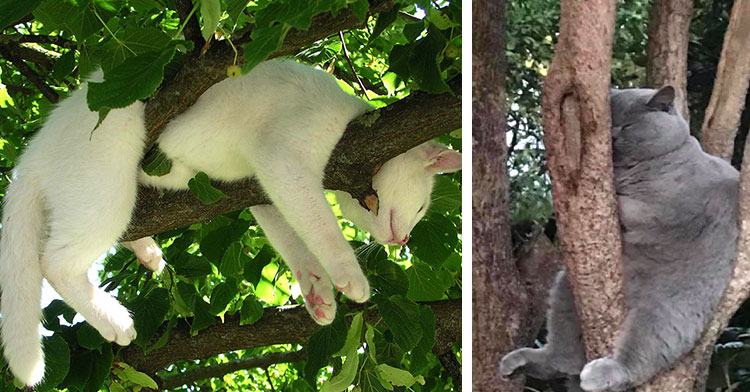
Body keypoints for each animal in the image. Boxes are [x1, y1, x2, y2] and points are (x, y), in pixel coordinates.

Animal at [0, 59, 462, 388]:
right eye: (422, 207)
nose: (403, 240)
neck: (353, 120)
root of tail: (33, 155)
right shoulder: (282, 162)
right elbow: (322, 228)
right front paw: (349, 276)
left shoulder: (262, 188)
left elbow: (294, 241)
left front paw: (318, 291)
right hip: (108, 176)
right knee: (55, 263)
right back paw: (114, 320)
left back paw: (146, 252)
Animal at [500, 86, 740, 392]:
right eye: (608, 121)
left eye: (627, 125)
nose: (612, 135)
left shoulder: (664, 208)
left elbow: (628, 203)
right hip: (566, 288)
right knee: (562, 359)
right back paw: (523, 361)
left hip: (669, 308)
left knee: (640, 353)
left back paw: (604, 372)